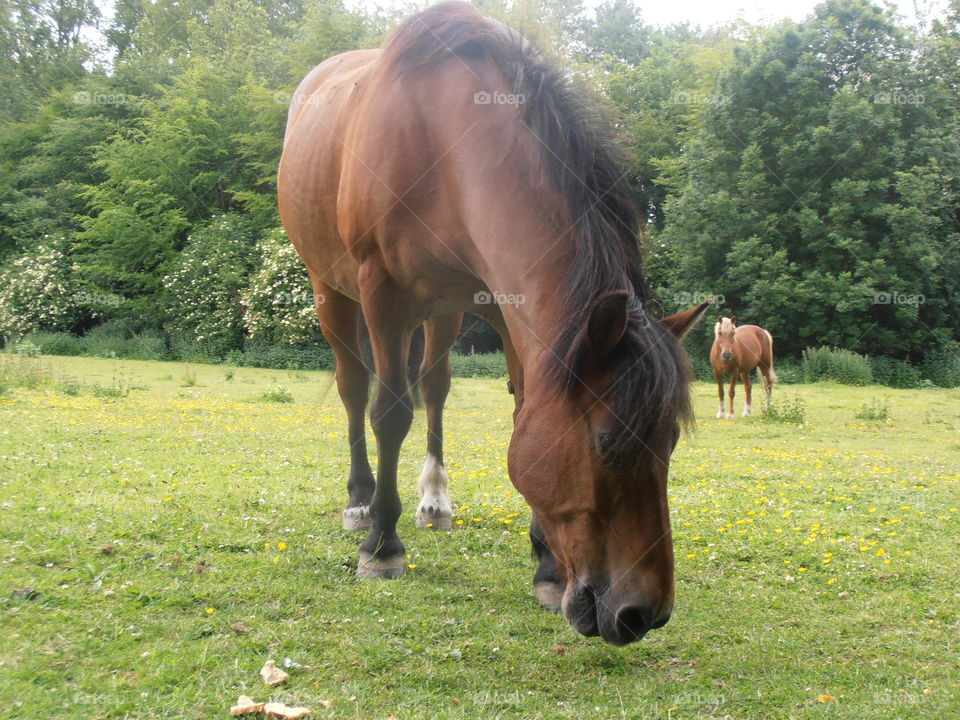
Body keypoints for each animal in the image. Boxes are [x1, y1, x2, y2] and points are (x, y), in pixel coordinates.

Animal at [274, 2, 708, 648]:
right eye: (607, 442)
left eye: (670, 441)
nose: (644, 614)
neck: (444, 144)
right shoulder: (383, 296)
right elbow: (389, 413)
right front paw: (382, 546)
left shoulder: (505, 310)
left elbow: (520, 406)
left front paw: (547, 567)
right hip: (333, 293)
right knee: (356, 390)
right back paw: (361, 503)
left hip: (445, 312)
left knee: (433, 388)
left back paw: (433, 501)